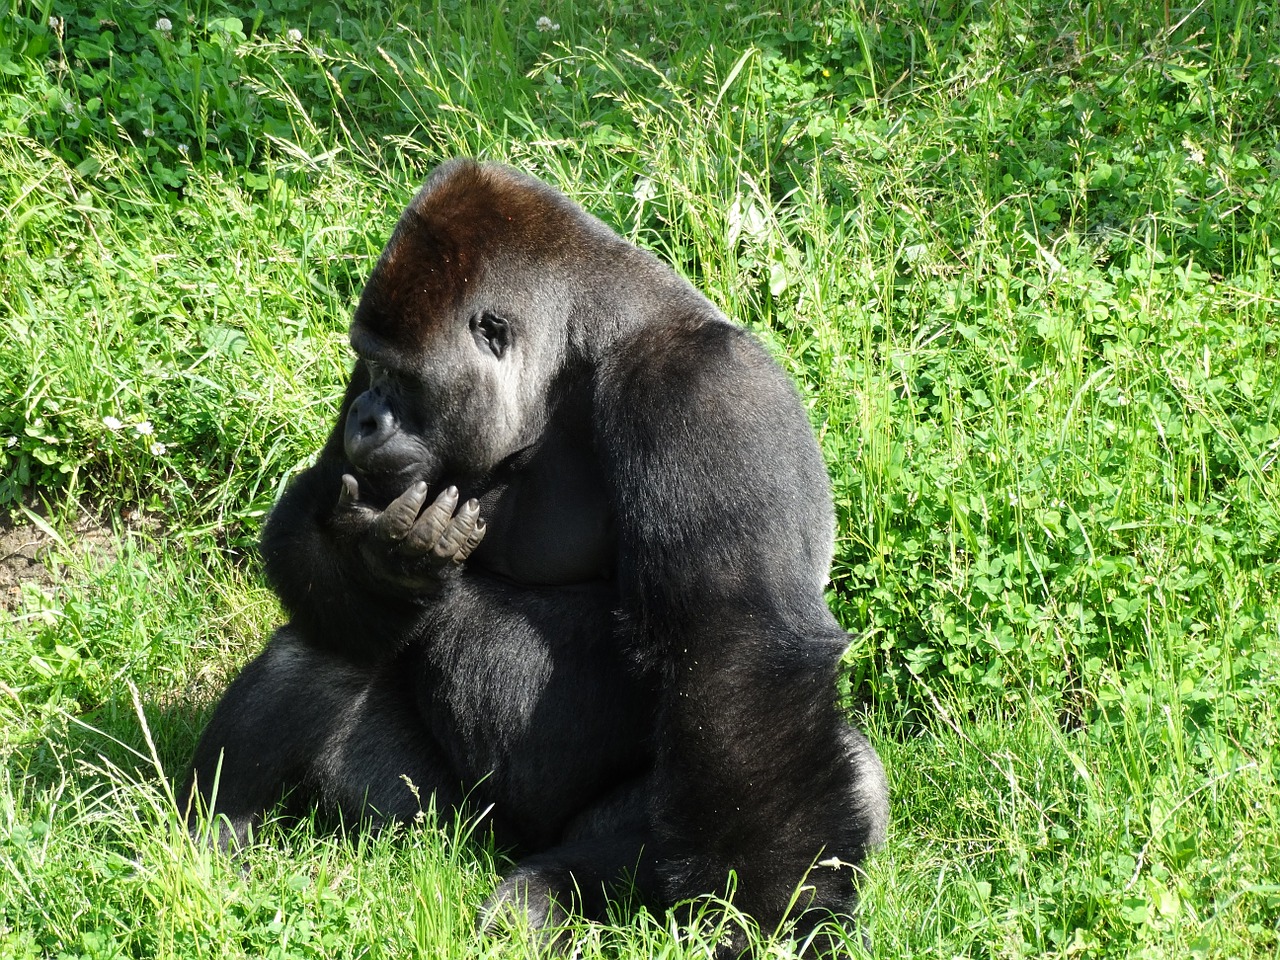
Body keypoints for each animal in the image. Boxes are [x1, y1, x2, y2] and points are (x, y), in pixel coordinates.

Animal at [186, 156, 890, 947]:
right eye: (369, 371)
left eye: (399, 377)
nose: (365, 415)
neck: (572, 358)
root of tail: (499, 842)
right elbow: (313, 514)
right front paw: (383, 566)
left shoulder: (708, 393)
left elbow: (737, 648)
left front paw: (769, 911)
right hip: (432, 824)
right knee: (323, 648)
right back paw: (216, 837)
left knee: (849, 772)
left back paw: (548, 891)